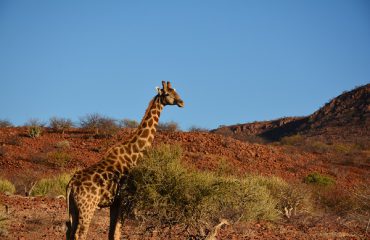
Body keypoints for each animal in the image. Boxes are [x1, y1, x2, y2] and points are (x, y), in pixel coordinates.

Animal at [66, 81, 184, 240]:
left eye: (176, 91)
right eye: (167, 93)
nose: (182, 102)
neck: (134, 152)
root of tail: (71, 185)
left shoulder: (115, 202)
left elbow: (112, 232)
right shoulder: (124, 199)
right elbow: (117, 232)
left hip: (73, 208)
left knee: (69, 232)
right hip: (87, 207)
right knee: (80, 234)